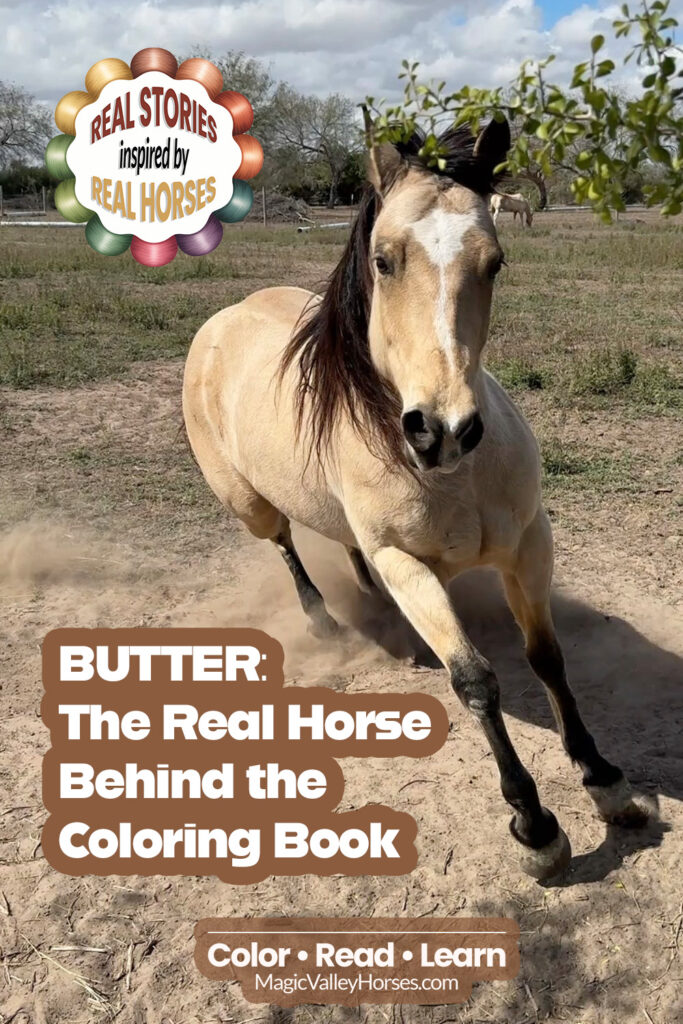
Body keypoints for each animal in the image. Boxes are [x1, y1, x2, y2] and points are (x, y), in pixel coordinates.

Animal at [183, 117, 647, 879]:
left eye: (495, 262)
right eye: (383, 260)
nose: (444, 429)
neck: (456, 475)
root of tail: (221, 320)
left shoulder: (529, 544)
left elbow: (546, 656)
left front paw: (602, 777)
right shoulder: (409, 565)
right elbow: (477, 681)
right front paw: (535, 824)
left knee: (342, 542)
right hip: (251, 506)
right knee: (286, 544)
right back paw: (323, 620)